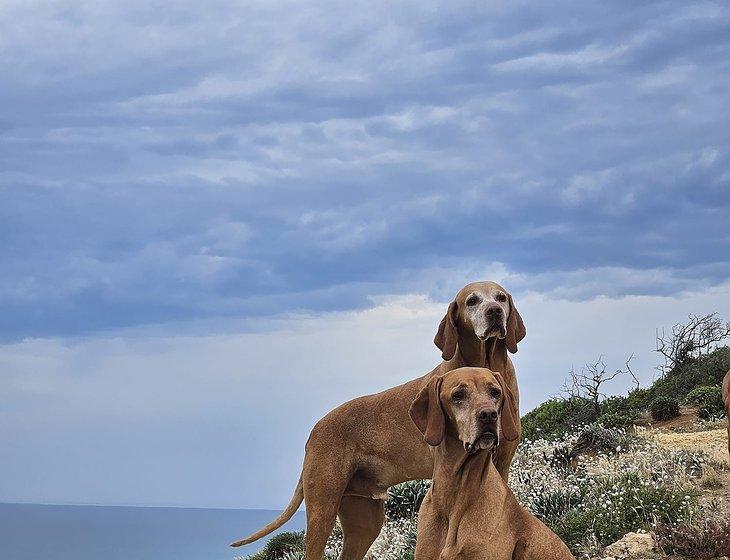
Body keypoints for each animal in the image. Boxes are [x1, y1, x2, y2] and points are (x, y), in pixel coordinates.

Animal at [232, 282, 524, 560]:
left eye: (501, 297)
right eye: (472, 300)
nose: (494, 311)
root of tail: (315, 429)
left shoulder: (501, 465)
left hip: (364, 518)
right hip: (322, 507)